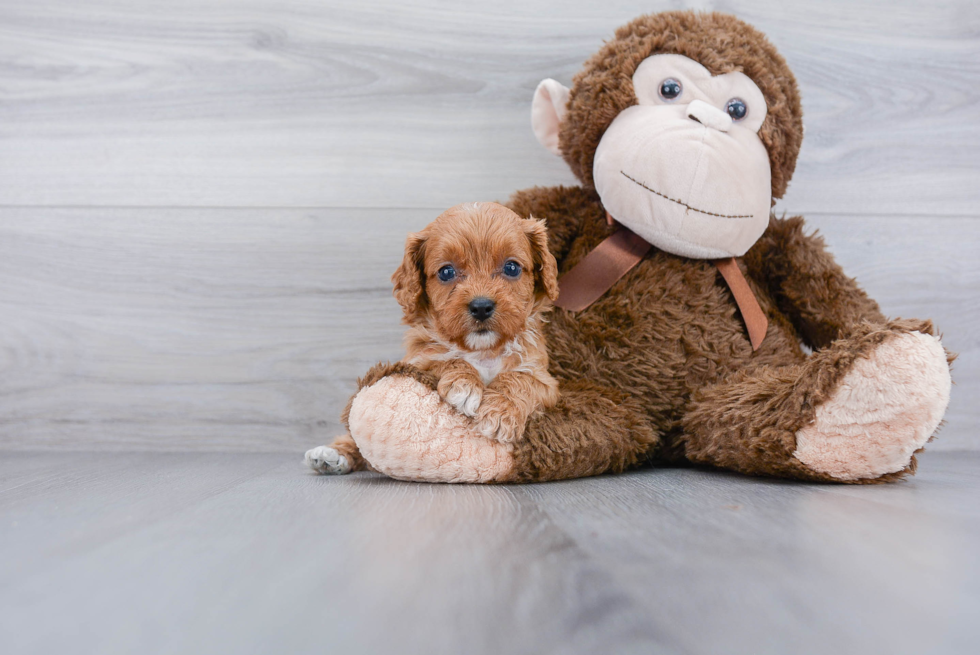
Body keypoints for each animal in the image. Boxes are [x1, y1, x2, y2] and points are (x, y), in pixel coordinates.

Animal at [310, 202, 564, 474]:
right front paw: (464, 384)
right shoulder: (416, 361)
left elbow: (519, 379)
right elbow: (444, 359)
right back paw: (333, 453)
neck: (482, 351)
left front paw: (499, 413)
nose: (481, 306)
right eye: (446, 272)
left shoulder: (544, 380)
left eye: (511, 268)